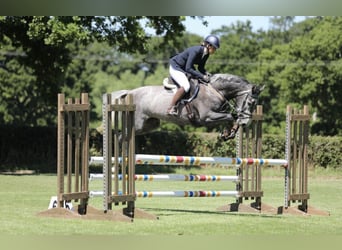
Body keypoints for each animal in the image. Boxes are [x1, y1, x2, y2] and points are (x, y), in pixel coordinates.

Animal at [111, 73, 266, 141]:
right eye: (251, 103)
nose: (246, 123)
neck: (215, 90)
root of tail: (130, 92)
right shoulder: (206, 117)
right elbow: (230, 116)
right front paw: (227, 133)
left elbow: (231, 117)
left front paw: (228, 133)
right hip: (137, 124)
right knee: (120, 135)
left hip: (148, 125)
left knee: (125, 135)